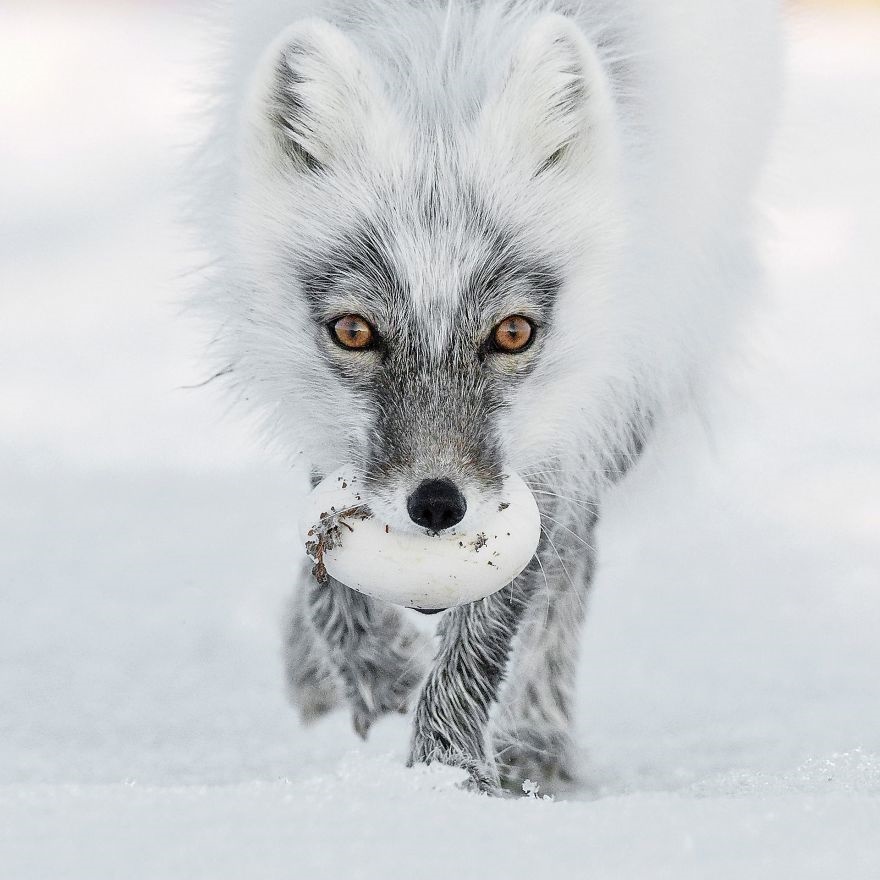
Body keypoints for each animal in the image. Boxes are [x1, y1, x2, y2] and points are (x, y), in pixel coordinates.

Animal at [198, 0, 776, 796]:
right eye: (354, 331)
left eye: (512, 332)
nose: (438, 505)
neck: (444, 61)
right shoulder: (326, 423)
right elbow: (328, 567)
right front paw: (376, 671)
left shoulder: (561, 435)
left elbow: (494, 624)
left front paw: (448, 779)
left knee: (571, 566)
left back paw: (536, 740)